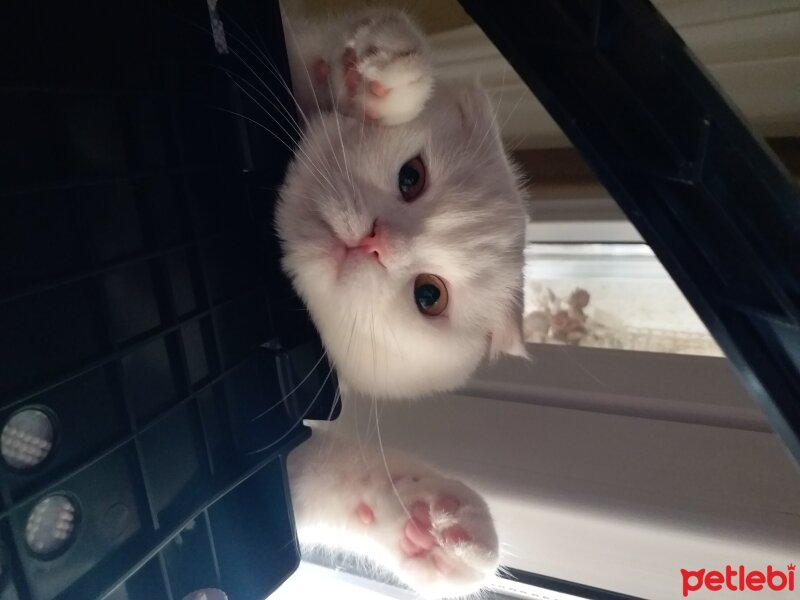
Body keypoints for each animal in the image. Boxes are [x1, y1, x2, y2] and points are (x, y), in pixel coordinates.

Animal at [272, 5, 528, 600]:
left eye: (428, 295)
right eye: (411, 177)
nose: (375, 242)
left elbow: (322, 483)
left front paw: (435, 527)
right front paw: (374, 75)